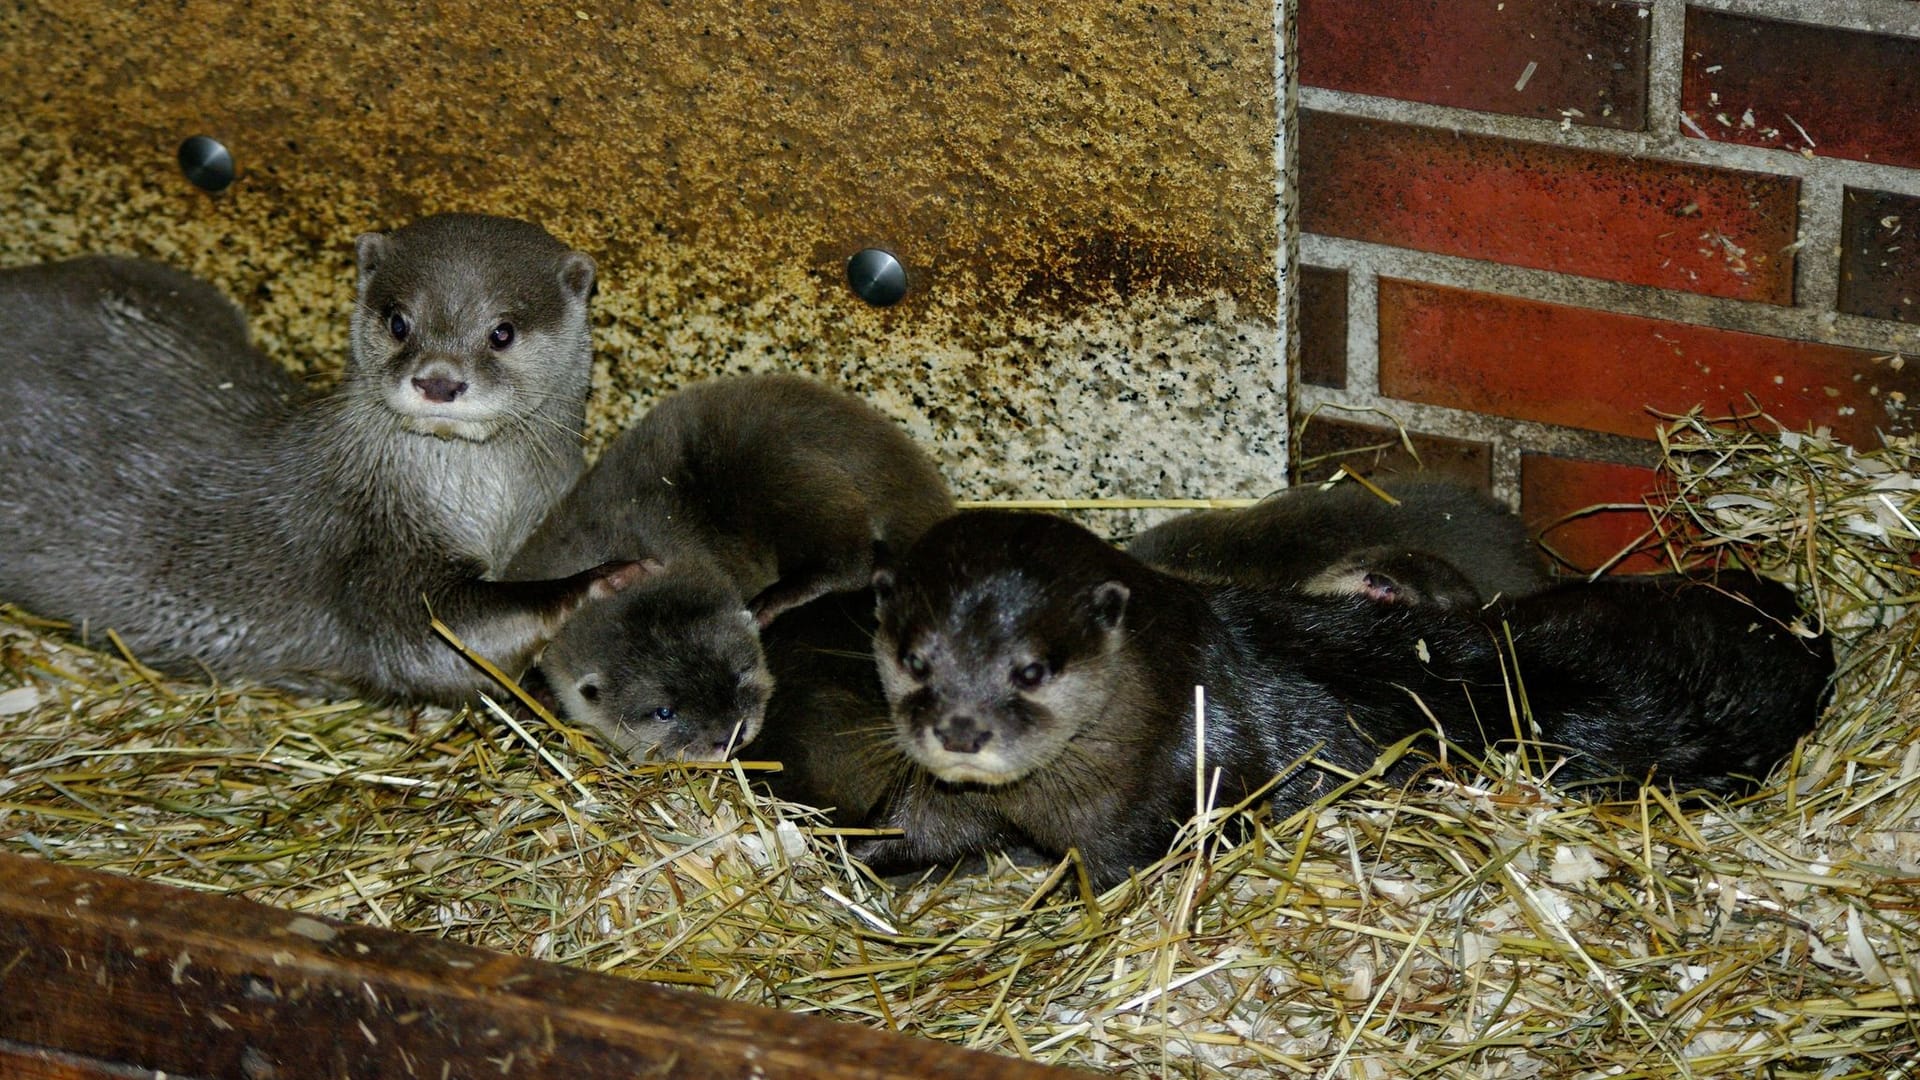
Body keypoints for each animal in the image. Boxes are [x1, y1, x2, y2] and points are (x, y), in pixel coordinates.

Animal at [0, 215, 641, 703]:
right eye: (399, 322)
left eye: (502, 332)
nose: (438, 381)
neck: (491, 508)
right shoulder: (372, 543)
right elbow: (432, 640)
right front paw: (599, 581)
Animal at [506, 374, 956, 760]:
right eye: (664, 712)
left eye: (740, 672)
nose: (730, 734)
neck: (605, 540)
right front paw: (537, 696)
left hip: (786, 474)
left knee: (850, 558)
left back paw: (771, 600)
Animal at [852, 507, 1827, 887]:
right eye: (916, 656)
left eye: (1032, 670)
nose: (961, 729)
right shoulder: (943, 803)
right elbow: (898, 837)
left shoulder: (1153, 809)